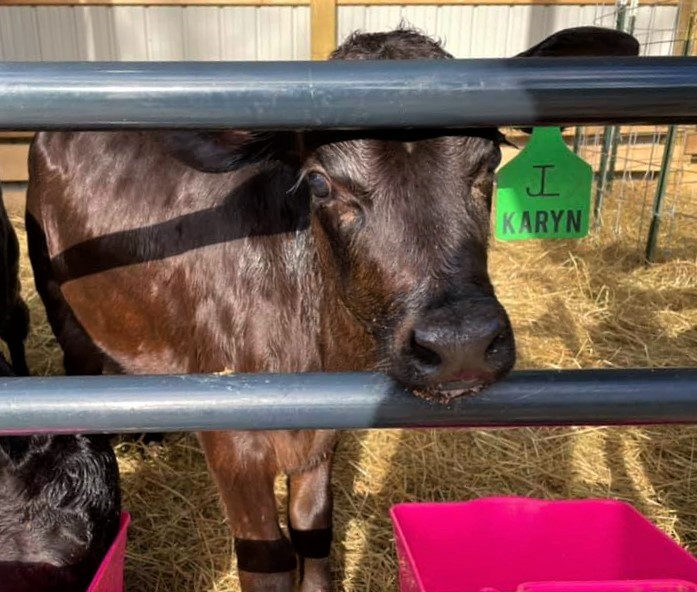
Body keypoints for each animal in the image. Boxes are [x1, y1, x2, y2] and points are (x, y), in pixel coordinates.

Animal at [26, 26, 639, 592]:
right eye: (321, 183)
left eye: (487, 165)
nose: (460, 343)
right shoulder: (232, 444)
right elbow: (266, 560)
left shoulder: (325, 431)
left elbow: (313, 531)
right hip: (60, 305)